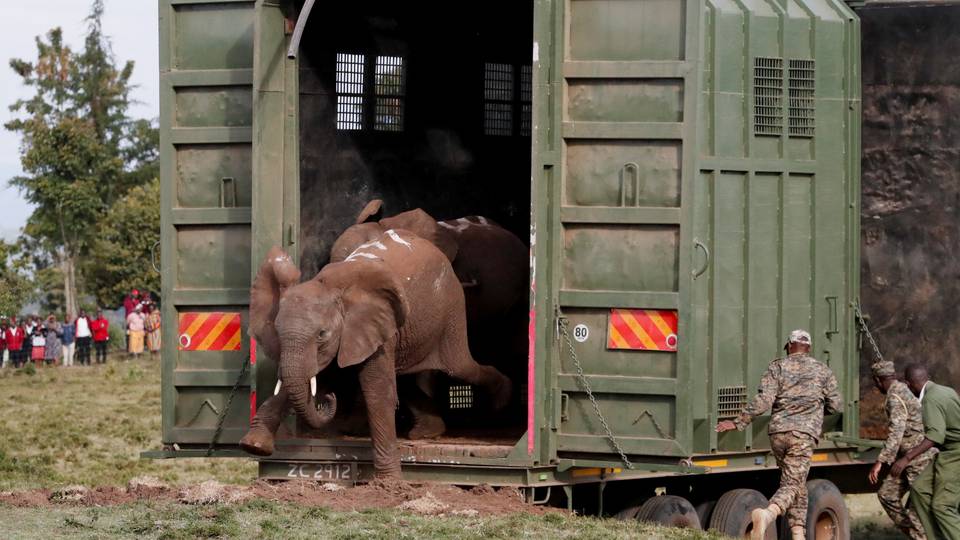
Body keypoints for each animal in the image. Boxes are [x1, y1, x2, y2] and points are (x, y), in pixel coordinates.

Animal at [239, 229, 512, 478]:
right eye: (277, 330)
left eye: (322, 334)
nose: (329, 398)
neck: (330, 286)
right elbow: (300, 376)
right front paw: (255, 445)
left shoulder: (374, 324)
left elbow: (376, 391)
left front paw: (389, 483)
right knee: (405, 376)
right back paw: (429, 431)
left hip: (452, 309)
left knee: (460, 367)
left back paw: (501, 400)